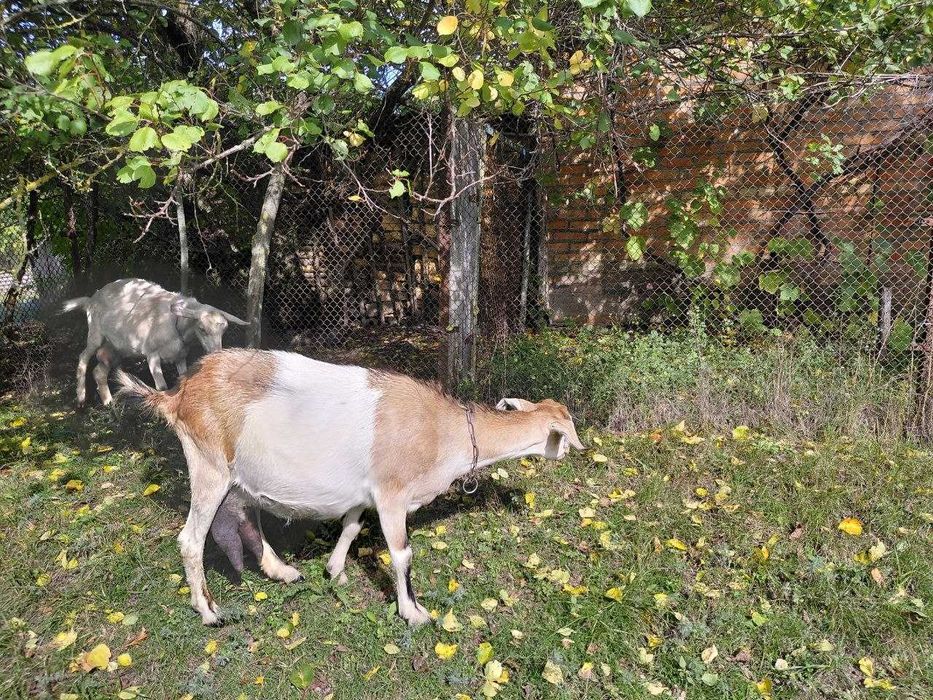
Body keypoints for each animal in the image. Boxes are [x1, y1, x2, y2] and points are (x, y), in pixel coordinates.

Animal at [63, 278, 247, 407]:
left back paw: (109, 402)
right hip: (95, 334)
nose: (217, 353)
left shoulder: (180, 356)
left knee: (99, 371)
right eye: (201, 328)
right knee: (83, 357)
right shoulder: (152, 354)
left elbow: (183, 380)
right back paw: (81, 399)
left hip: (115, 348)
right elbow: (162, 387)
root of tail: (91, 299)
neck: (175, 323)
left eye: (224, 330)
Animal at [115, 349, 584, 626]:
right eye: (564, 432)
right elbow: (401, 554)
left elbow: (352, 526)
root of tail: (177, 396)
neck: (441, 430)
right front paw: (414, 612)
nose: (572, 452)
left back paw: (283, 571)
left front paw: (335, 570)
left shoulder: (365, 492)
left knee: (246, 517)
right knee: (191, 539)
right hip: (208, 464)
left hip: (240, 476)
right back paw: (209, 611)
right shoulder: (392, 493)